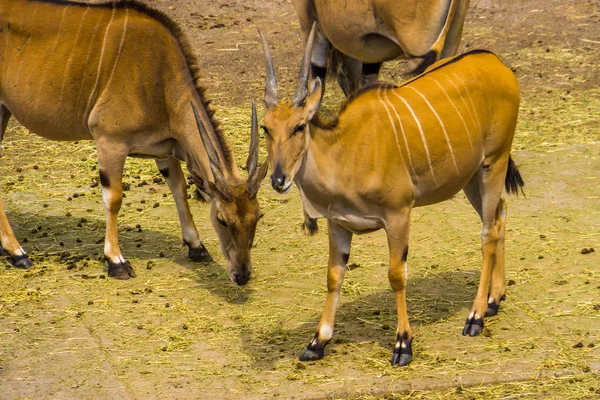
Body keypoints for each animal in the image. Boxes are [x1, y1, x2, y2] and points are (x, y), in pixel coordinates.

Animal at [0, 0, 268, 284]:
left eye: (257, 216)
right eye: (222, 219)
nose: (242, 275)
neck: (160, 77)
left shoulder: (164, 151)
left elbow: (179, 189)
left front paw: (197, 247)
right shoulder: (110, 141)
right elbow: (114, 199)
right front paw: (116, 261)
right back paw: (18, 253)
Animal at [260, 27, 524, 366]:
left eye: (299, 126)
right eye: (266, 128)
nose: (278, 179)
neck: (346, 151)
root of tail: (497, 64)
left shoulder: (399, 215)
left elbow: (396, 275)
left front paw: (403, 344)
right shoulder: (338, 224)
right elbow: (334, 276)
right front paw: (317, 341)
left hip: (494, 162)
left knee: (488, 233)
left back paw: (475, 316)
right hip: (471, 177)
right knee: (499, 215)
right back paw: (494, 299)